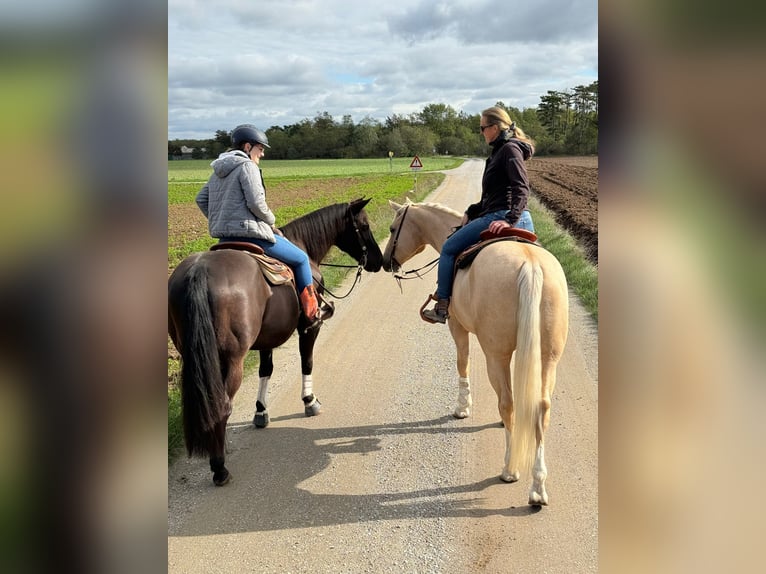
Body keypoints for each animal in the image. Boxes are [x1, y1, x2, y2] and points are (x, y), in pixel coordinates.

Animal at [169, 198, 384, 486]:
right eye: (364, 225)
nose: (378, 261)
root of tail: (200, 271)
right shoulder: (309, 327)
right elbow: (307, 361)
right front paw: (310, 401)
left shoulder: (266, 337)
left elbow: (265, 370)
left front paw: (261, 412)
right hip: (231, 359)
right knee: (222, 405)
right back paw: (219, 467)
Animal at [384, 202, 568, 508]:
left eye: (392, 228)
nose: (386, 261)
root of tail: (530, 265)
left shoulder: (457, 326)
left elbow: (463, 363)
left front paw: (462, 407)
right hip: (548, 358)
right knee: (540, 408)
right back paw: (538, 488)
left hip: (495, 355)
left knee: (507, 401)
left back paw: (510, 469)